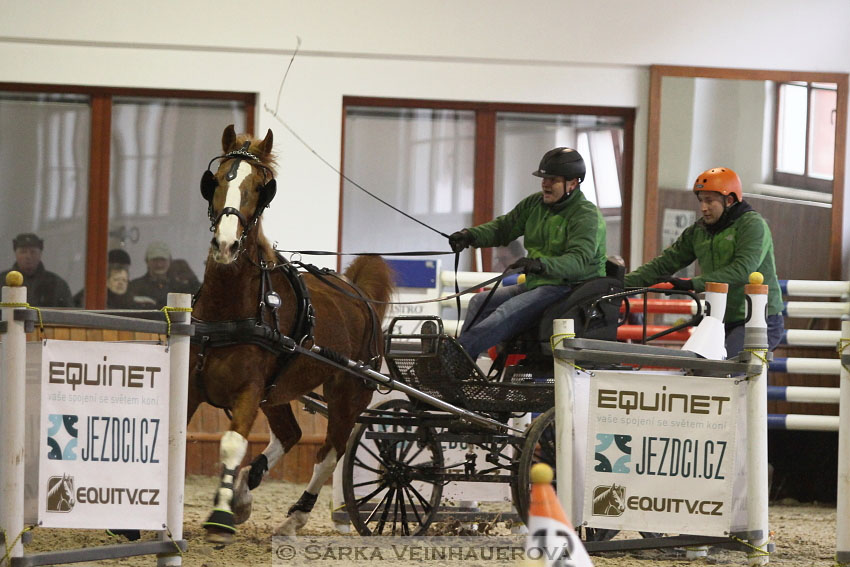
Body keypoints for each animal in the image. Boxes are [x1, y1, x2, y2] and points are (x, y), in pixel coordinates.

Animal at [187, 125, 392, 544]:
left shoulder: (248, 390)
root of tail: (359, 294)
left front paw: (219, 520)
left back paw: (293, 518)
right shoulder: (193, 385)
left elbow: (231, 443)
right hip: (278, 392)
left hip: (348, 394)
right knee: (291, 434)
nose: (226, 245)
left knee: (330, 453)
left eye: (259, 188)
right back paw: (245, 492)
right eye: (217, 180)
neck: (230, 307)